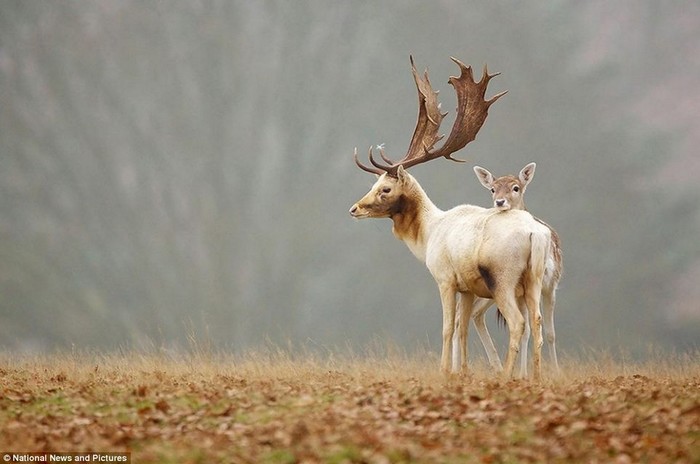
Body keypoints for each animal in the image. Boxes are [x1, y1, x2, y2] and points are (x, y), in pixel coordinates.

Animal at [350, 57, 552, 380]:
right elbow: (461, 329)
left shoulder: (445, 278)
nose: (355, 208)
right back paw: (535, 377)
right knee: (537, 322)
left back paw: (506, 375)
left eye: (385, 189)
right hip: (533, 279)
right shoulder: (467, 287)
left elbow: (447, 328)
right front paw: (463, 371)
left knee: (518, 323)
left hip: (503, 279)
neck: (429, 234)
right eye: (374, 183)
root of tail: (536, 234)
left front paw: (444, 370)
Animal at [454, 163, 564, 376]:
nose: (499, 202)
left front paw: (553, 373)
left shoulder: (551, 284)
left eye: (516, 187)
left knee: (470, 315)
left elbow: (549, 333)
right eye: (492, 189)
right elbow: (529, 330)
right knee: (464, 315)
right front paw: (523, 374)